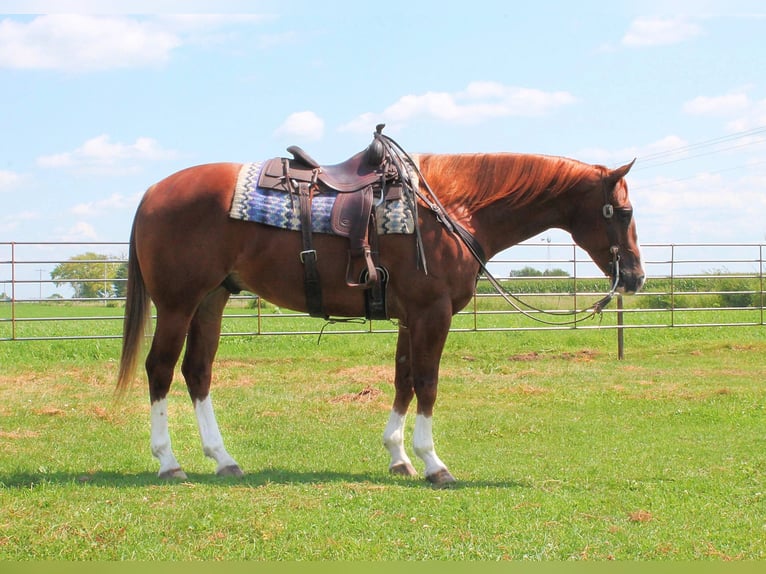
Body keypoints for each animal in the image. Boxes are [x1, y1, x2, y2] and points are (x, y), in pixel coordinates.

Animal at [115, 138, 640, 486]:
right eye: (624, 213)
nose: (635, 277)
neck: (451, 210)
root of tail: (153, 191)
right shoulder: (432, 313)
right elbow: (427, 382)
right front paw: (433, 463)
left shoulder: (411, 316)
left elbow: (403, 379)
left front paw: (398, 456)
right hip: (178, 304)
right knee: (160, 369)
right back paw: (169, 462)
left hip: (212, 300)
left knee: (197, 371)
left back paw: (223, 458)